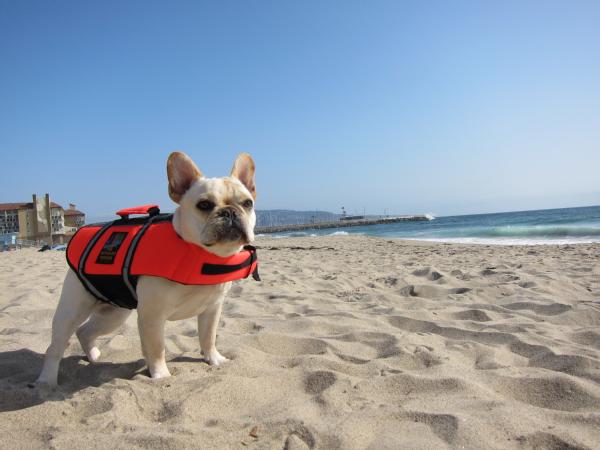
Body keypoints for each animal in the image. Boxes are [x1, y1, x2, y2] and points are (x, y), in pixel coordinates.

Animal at [35, 153, 255, 384]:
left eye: (247, 203)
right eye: (204, 205)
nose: (229, 212)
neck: (201, 254)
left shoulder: (212, 310)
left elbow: (208, 337)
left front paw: (214, 359)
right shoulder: (152, 316)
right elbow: (157, 348)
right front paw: (161, 376)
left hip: (113, 315)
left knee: (84, 331)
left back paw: (93, 357)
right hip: (72, 309)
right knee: (56, 346)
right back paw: (46, 381)